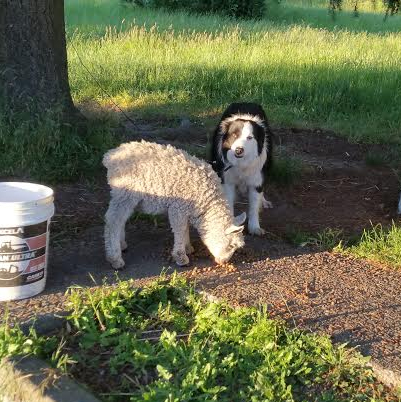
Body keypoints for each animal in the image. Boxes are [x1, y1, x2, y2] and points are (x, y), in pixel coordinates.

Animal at [101, 140, 245, 268]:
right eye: (231, 245)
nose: (224, 261)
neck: (206, 202)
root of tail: (110, 156)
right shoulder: (178, 207)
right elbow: (180, 229)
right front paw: (181, 256)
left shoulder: (185, 209)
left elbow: (185, 227)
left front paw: (187, 247)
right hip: (124, 193)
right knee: (113, 221)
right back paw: (115, 258)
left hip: (125, 196)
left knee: (120, 220)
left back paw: (121, 244)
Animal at [209, 103, 272, 236]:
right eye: (234, 135)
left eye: (250, 138)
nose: (239, 150)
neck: (241, 164)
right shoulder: (227, 180)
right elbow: (228, 202)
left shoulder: (256, 180)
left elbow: (253, 206)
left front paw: (254, 227)